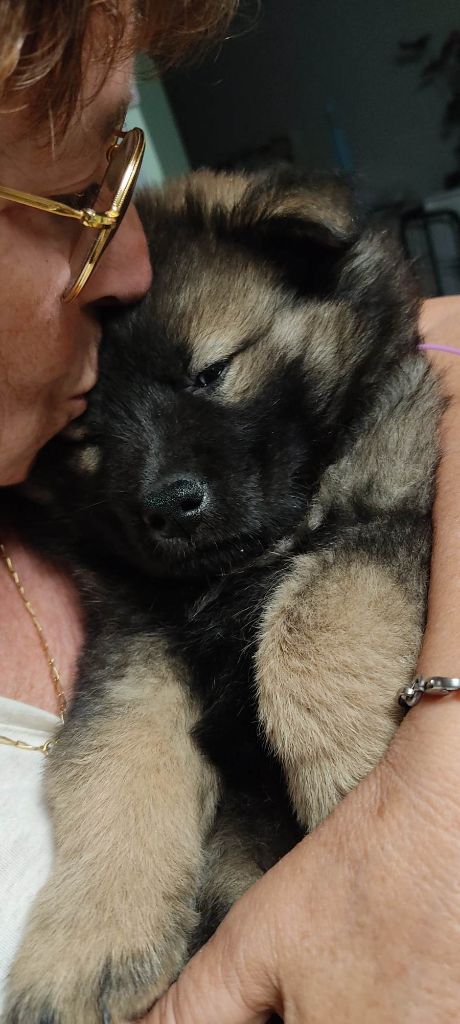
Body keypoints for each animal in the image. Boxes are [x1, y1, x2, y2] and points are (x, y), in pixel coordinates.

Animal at [4, 167, 440, 1024]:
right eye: (86, 441)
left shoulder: (400, 520)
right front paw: (85, 948)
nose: (169, 506)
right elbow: (112, 762)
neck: (235, 574)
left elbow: (313, 617)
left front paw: (356, 775)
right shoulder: (138, 653)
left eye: (213, 372)